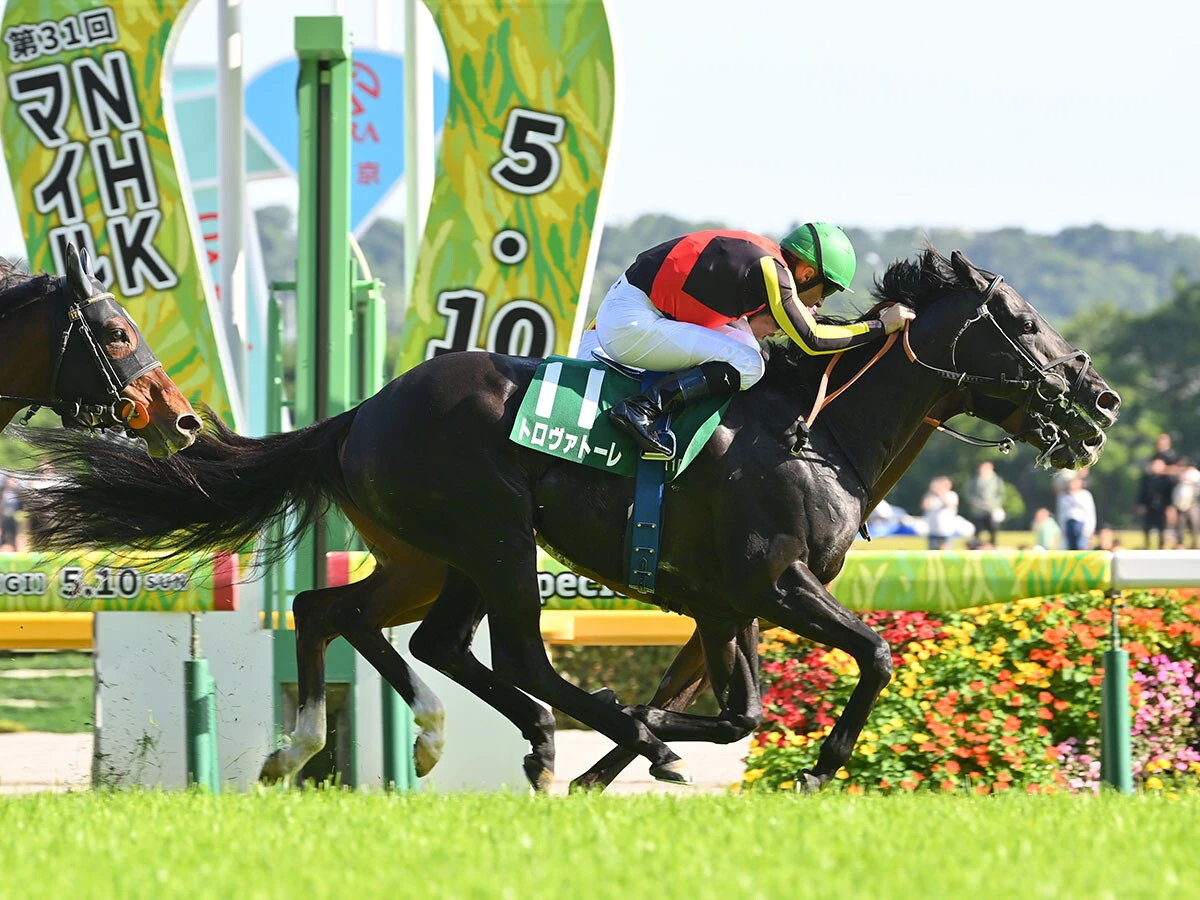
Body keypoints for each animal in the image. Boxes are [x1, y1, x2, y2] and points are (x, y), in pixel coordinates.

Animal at [26, 248, 1120, 791]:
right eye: (1022, 322)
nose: (1099, 398)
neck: (815, 431)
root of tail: (361, 413)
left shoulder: (725, 606)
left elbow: (737, 709)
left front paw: (633, 753)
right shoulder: (775, 584)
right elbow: (874, 658)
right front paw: (811, 767)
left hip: (433, 556)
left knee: (354, 619)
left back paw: (380, 741)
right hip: (497, 540)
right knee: (505, 654)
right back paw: (553, 735)